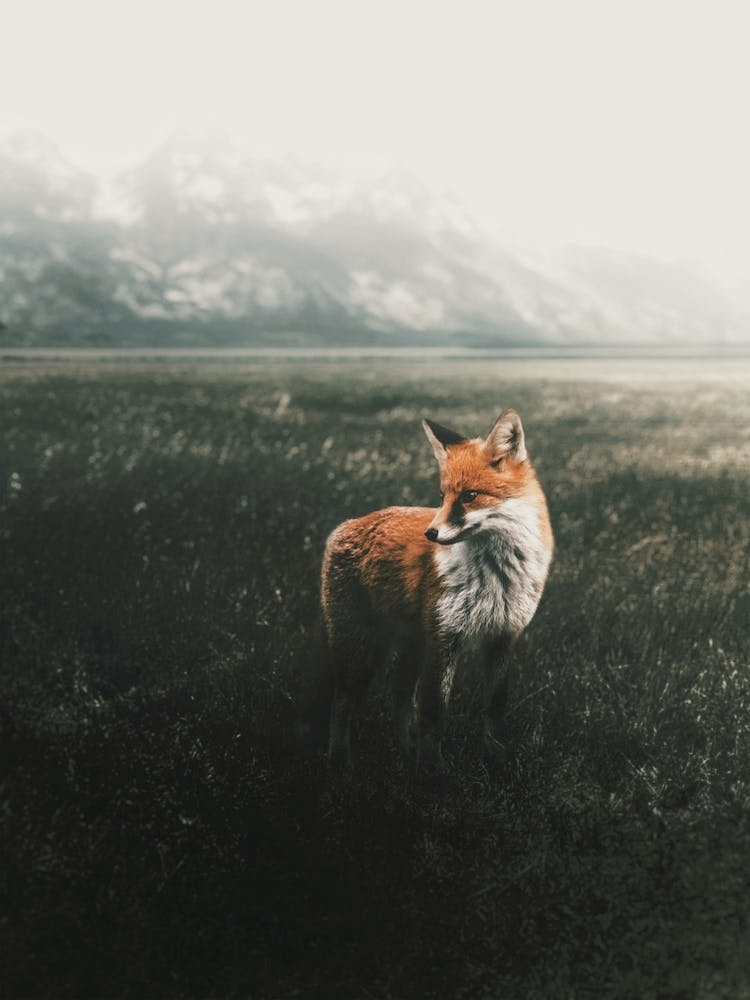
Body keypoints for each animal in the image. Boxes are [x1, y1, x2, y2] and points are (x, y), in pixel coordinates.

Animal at [321, 409, 553, 768]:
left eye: (470, 496)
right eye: (442, 497)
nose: (430, 533)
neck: (496, 573)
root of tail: (345, 526)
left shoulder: (503, 635)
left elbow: (494, 709)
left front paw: (495, 759)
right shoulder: (445, 636)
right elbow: (432, 714)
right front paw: (432, 770)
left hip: (410, 644)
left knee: (400, 694)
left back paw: (406, 752)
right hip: (359, 646)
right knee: (342, 701)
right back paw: (340, 761)